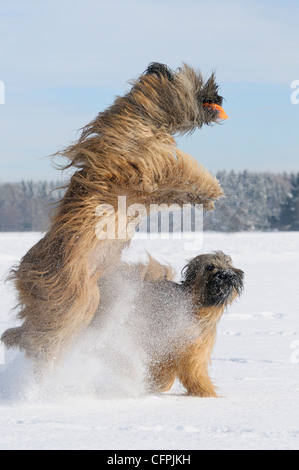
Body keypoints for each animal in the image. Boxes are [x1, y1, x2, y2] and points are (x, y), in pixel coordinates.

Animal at [1, 62, 227, 364]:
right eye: (194, 79)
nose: (221, 97)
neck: (144, 119)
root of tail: (25, 273)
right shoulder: (146, 168)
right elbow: (183, 170)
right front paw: (212, 189)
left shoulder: (151, 186)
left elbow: (177, 191)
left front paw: (204, 198)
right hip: (76, 302)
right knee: (46, 335)